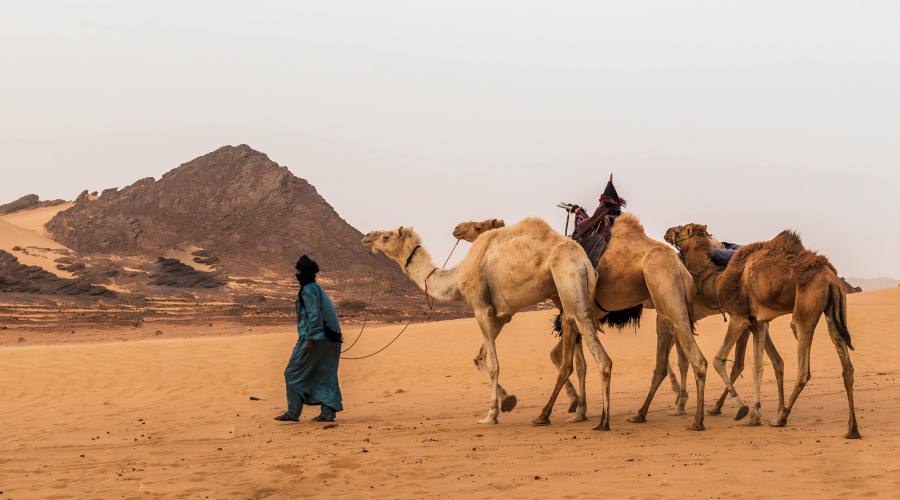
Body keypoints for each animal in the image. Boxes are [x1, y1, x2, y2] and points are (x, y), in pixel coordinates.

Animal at [358, 219, 612, 426]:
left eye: (386, 236)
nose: (366, 236)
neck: (456, 276)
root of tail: (585, 263)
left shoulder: (481, 308)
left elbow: (495, 365)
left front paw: (491, 414)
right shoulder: (501, 315)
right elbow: (479, 358)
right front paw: (507, 400)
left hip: (569, 285)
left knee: (597, 357)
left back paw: (595, 420)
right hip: (564, 297)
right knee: (579, 357)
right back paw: (577, 413)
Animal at [454, 213, 708, 432]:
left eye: (478, 226)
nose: (457, 229)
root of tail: (679, 265)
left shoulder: (567, 312)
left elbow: (568, 361)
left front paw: (566, 410)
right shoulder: (574, 314)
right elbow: (579, 363)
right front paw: (579, 410)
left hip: (666, 294)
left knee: (691, 359)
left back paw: (693, 417)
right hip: (666, 307)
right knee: (667, 360)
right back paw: (644, 412)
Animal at [672, 223, 860, 438]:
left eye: (681, 230)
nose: (667, 233)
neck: (718, 279)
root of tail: (831, 278)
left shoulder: (739, 317)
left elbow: (719, 360)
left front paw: (744, 410)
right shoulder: (757, 322)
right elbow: (758, 366)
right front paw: (754, 414)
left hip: (805, 311)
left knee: (803, 366)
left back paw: (781, 417)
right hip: (834, 310)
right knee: (846, 364)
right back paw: (852, 429)